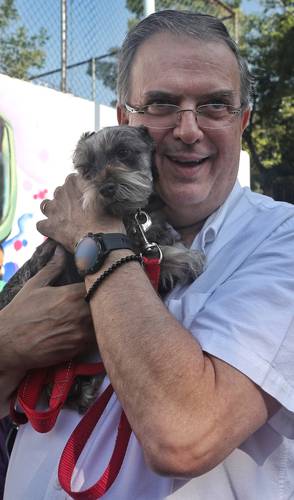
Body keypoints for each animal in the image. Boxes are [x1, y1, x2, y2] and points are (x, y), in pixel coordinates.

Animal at [0, 126, 203, 414]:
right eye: (86, 169)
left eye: (123, 152)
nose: (105, 189)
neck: (131, 215)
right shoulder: (137, 253)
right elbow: (158, 257)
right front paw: (188, 258)